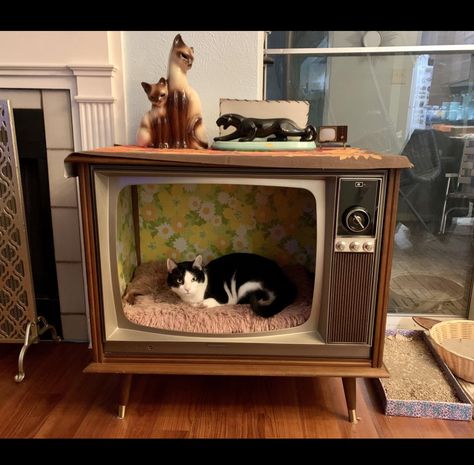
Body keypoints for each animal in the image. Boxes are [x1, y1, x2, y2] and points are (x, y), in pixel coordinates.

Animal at [165, 252, 294, 318]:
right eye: (179, 280)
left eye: (194, 279)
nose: (187, 289)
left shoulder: (224, 296)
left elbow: (215, 301)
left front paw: (202, 304)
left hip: (245, 285)